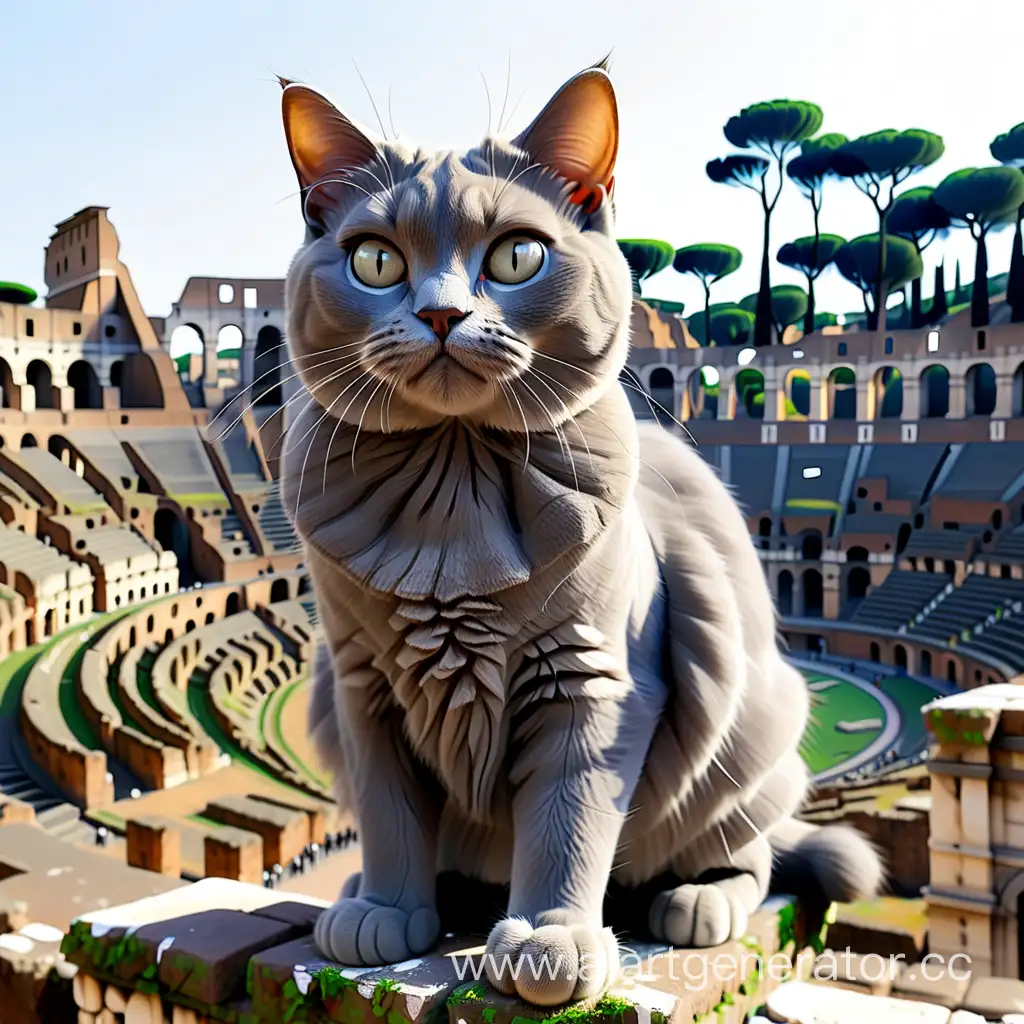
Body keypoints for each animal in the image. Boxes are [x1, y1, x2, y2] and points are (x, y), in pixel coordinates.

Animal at [278, 61, 880, 1007]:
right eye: (375, 261)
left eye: (515, 255)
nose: (442, 314)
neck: (453, 500)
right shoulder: (361, 685)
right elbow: (386, 810)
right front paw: (384, 908)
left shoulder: (593, 681)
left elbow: (568, 820)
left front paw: (549, 937)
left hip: (750, 722)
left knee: (754, 850)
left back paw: (697, 900)